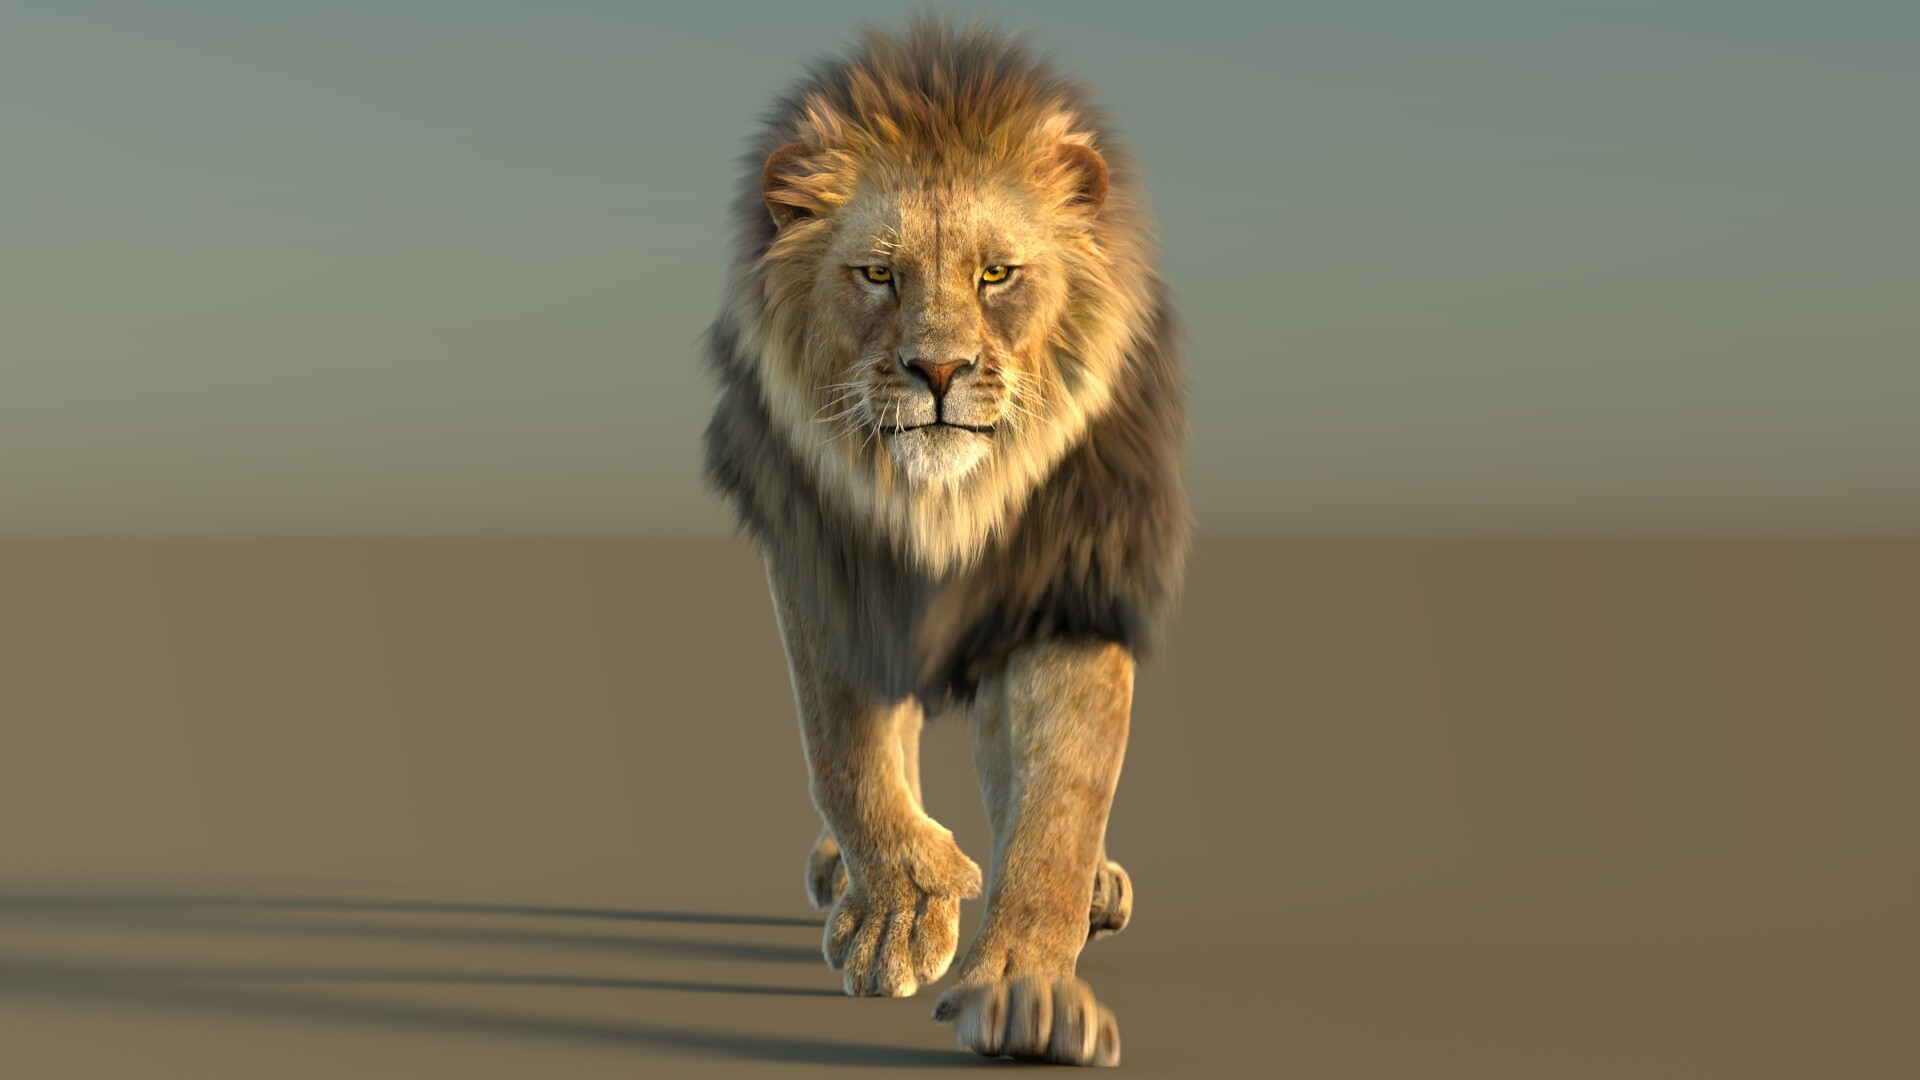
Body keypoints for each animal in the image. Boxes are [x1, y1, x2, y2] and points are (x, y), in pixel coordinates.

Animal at [701, 16, 1188, 1067]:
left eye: (996, 274)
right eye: (879, 273)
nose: (938, 370)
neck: (943, 505)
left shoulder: (1071, 576)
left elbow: (1059, 803)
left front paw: (1025, 991)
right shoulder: (824, 557)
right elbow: (845, 750)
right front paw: (901, 903)